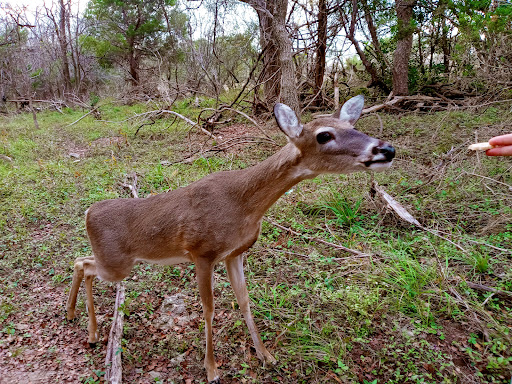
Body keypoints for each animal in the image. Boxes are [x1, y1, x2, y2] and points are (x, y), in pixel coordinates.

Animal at [67, 94, 396, 382]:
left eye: (354, 126)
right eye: (324, 135)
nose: (386, 150)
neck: (243, 205)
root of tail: (88, 212)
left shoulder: (236, 253)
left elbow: (245, 301)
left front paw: (265, 355)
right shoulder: (202, 252)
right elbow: (209, 309)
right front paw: (212, 369)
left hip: (115, 261)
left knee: (80, 261)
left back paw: (78, 321)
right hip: (116, 263)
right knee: (83, 264)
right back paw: (90, 332)